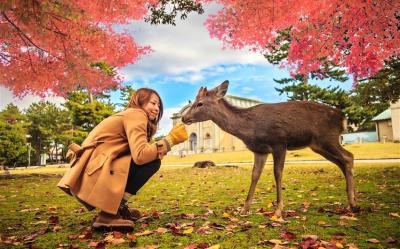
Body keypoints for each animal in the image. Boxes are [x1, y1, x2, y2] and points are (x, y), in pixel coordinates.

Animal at [180, 80, 358, 216]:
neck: (249, 129)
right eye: (194, 102)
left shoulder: (279, 142)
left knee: (348, 156)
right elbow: (254, 175)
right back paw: (351, 201)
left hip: (328, 137)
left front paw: (278, 210)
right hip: (318, 145)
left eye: (200, 103)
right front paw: (244, 209)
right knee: (342, 162)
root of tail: (343, 118)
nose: (183, 117)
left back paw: (353, 203)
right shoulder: (260, 150)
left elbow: (277, 173)